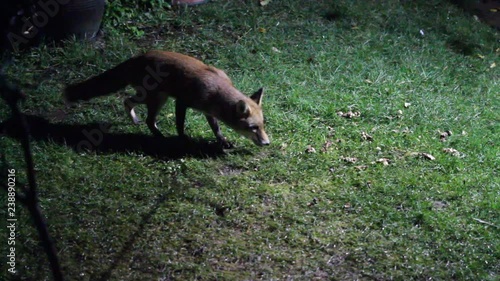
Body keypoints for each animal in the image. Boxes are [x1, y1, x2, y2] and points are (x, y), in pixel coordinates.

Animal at [65, 50, 272, 147]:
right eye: (253, 128)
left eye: (262, 126)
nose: (267, 143)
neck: (215, 90)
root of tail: (140, 56)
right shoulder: (182, 102)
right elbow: (180, 125)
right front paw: (183, 139)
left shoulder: (208, 111)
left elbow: (216, 128)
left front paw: (222, 141)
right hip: (156, 99)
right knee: (144, 116)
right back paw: (159, 137)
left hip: (155, 98)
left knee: (128, 101)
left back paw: (135, 121)